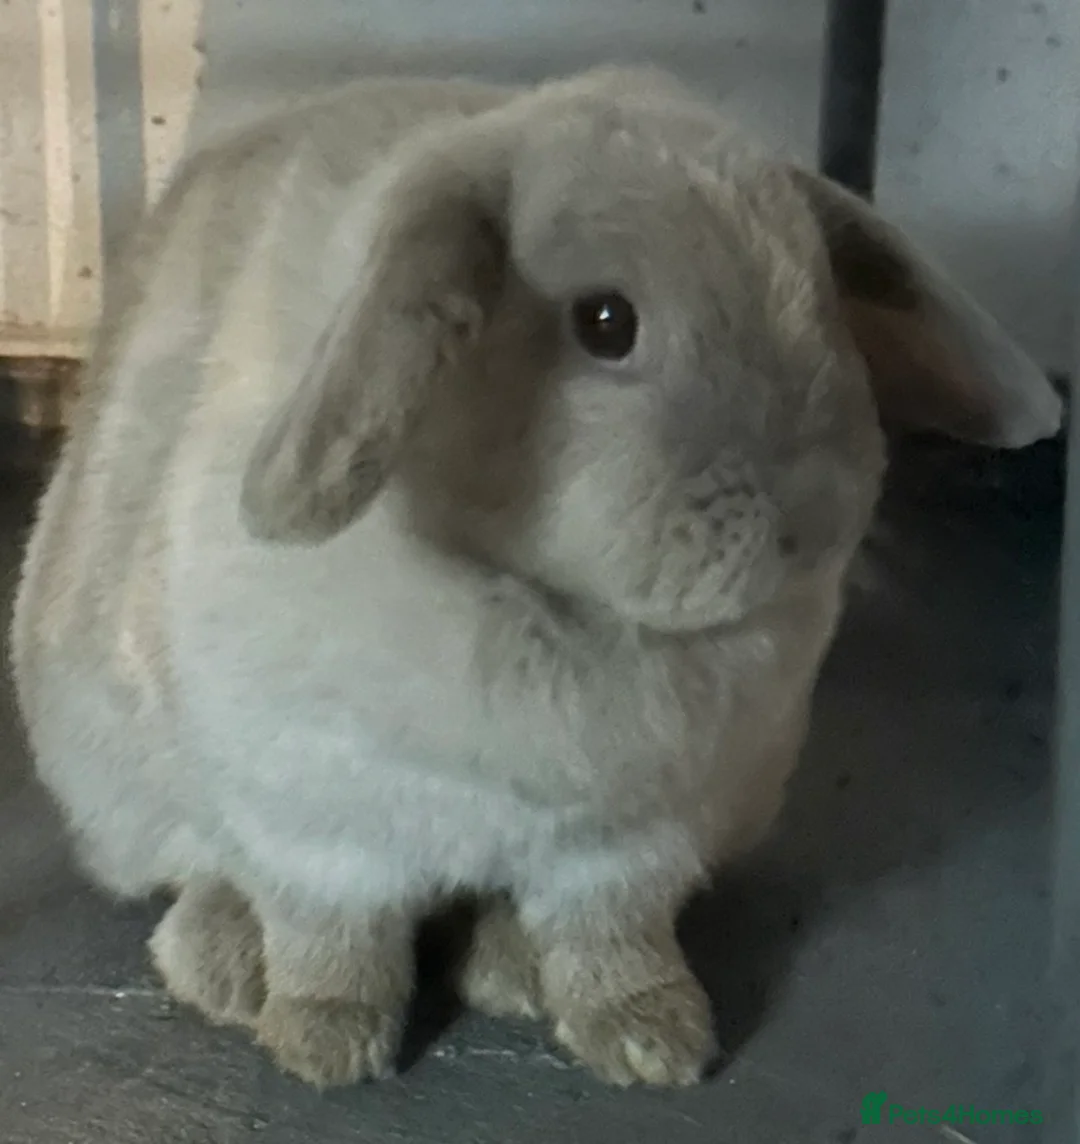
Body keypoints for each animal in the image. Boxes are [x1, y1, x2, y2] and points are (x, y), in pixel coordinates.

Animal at [10, 64, 1062, 1091]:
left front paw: (654, 1041)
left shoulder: (638, 842)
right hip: (120, 783)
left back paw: (510, 975)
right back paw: (228, 969)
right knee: (202, 871)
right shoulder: (316, 823)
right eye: (605, 321)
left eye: (821, 299)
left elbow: (612, 938)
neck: (555, 610)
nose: (812, 519)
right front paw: (325, 1044)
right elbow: (334, 937)